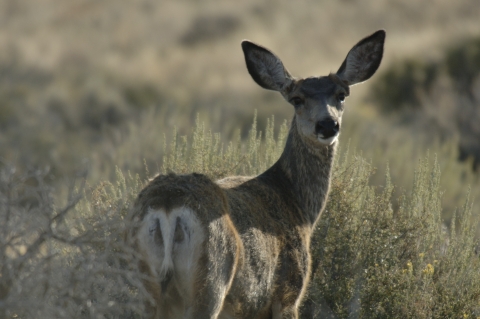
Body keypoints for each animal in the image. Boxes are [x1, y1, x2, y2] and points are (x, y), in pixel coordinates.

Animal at [127, 29, 386, 318]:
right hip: (211, 278)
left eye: (341, 94)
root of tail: (168, 206)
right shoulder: (288, 294)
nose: (328, 124)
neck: (298, 205)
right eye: (297, 99)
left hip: (145, 285)